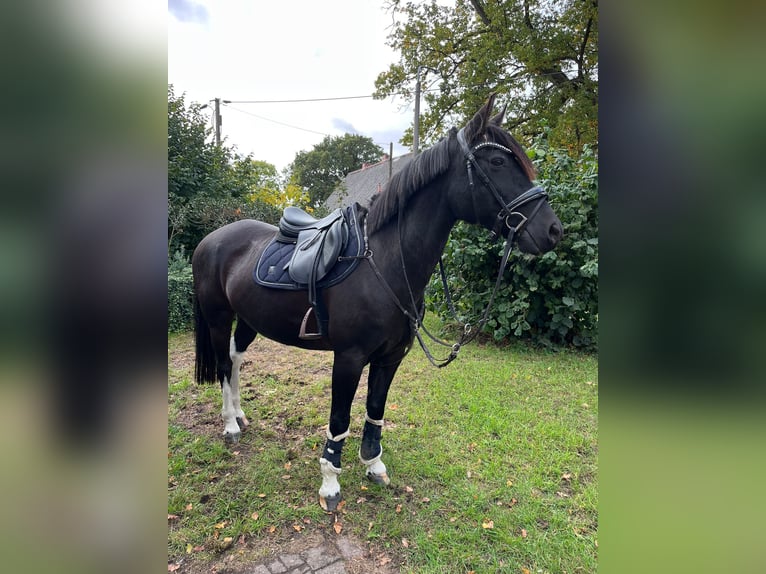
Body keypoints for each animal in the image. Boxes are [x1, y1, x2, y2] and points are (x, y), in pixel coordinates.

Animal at [192, 94, 563, 511]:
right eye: (497, 162)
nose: (553, 230)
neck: (384, 262)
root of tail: (210, 239)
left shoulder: (391, 356)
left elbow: (375, 409)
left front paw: (373, 465)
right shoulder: (349, 358)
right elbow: (339, 420)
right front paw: (330, 484)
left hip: (249, 320)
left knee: (236, 358)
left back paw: (241, 416)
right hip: (218, 317)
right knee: (224, 364)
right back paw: (229, 425)